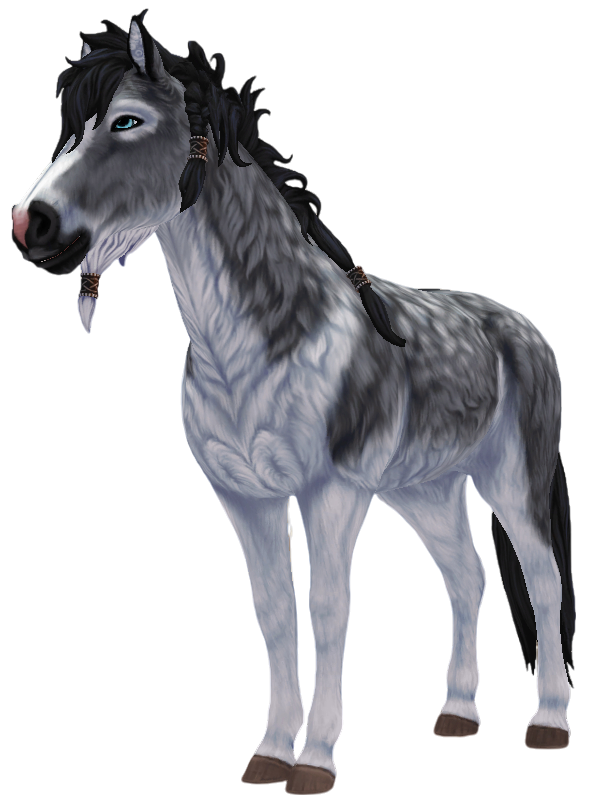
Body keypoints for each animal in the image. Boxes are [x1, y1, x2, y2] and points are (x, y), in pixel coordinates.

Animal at [11, 10, 575, 793]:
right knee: (466, 577)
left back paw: (549, 722)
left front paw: (315, 760)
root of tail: (521, 329)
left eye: (126, 121)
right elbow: (274, 614)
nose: (29, 224)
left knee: (542, 580)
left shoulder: (330, 492)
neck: (267, 338)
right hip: (423, 489)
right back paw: (458, 713)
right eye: (71, 130)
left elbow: (328, 612)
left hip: (507, 480)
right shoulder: (244, 497)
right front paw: (272, 750)